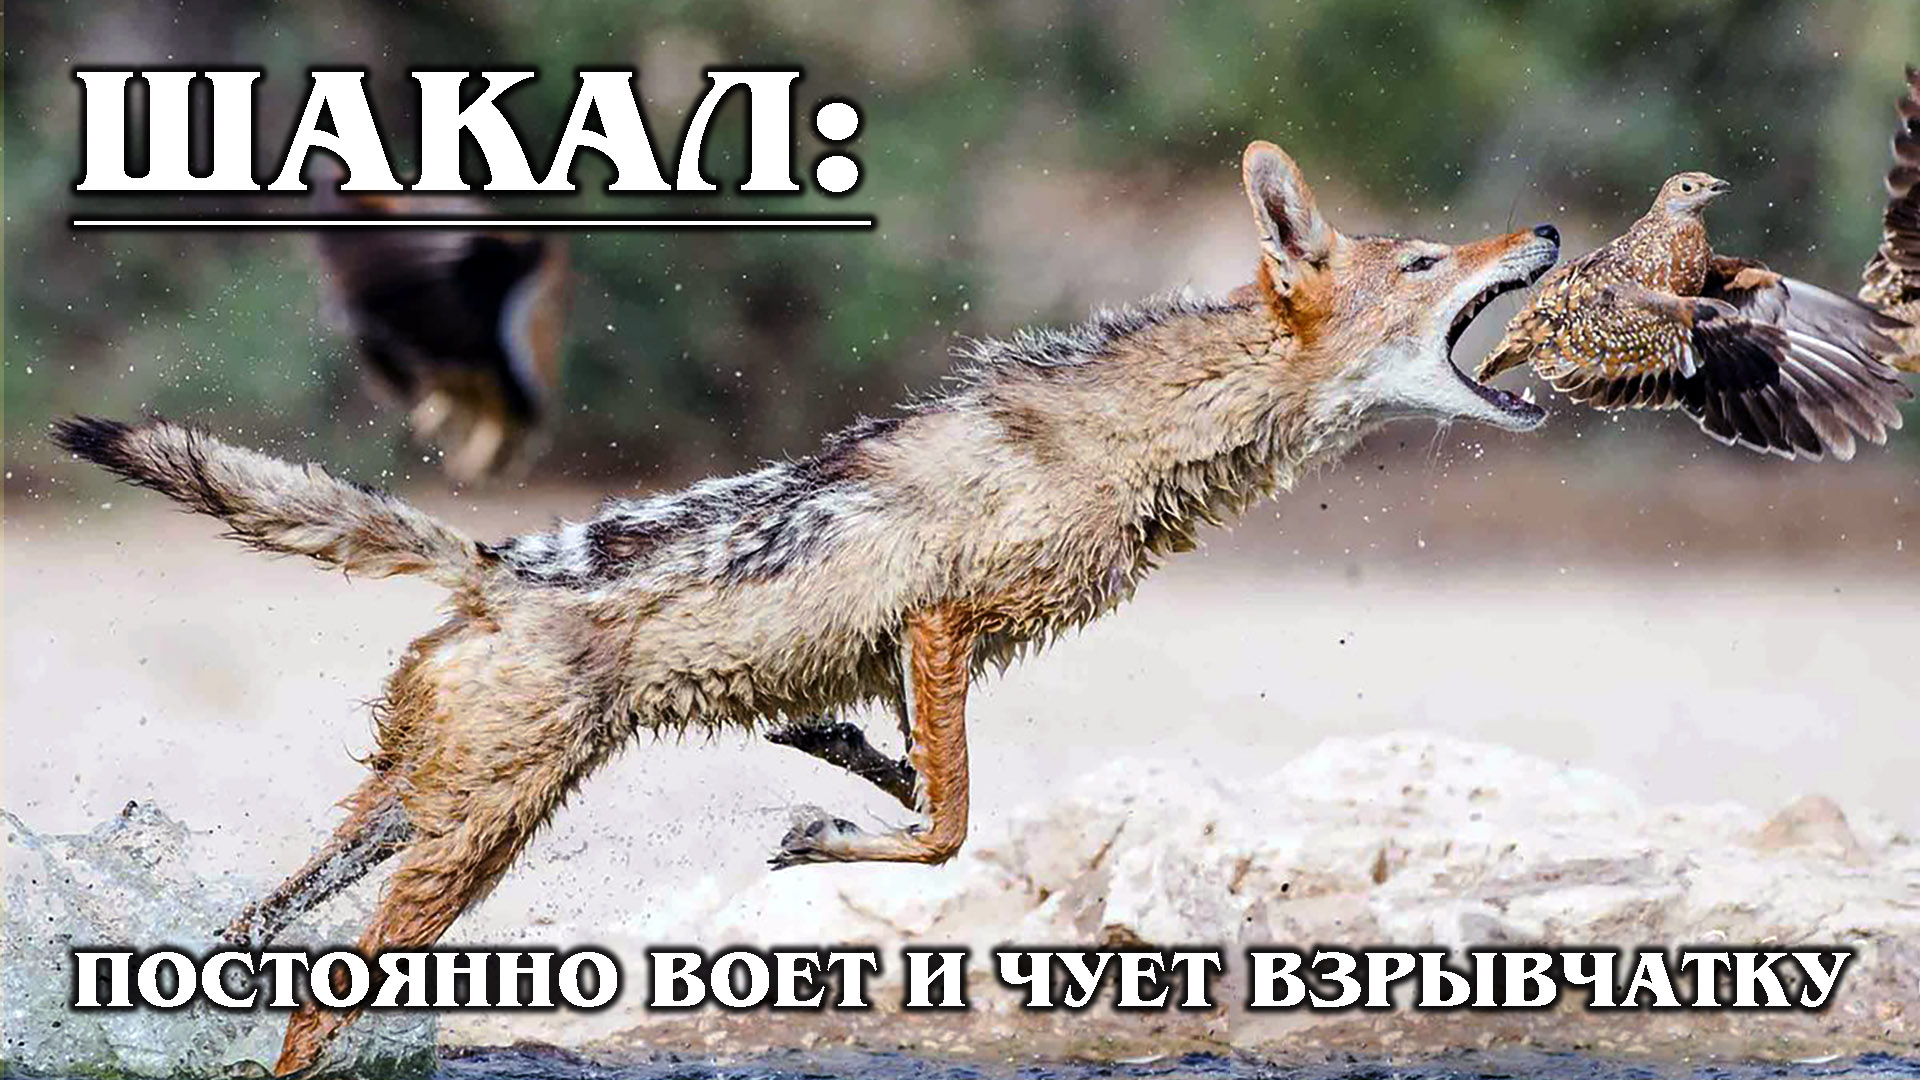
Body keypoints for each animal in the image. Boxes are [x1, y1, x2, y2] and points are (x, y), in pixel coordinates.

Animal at [52, 141, 1559, 1073]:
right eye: (1426, 263)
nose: (1547, 225)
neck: (1146, 436)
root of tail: (489, 564)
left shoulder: (912, 656)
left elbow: (917, 783)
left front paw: (838, 770)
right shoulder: (946, 627)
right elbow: (951, 827)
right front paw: (819, 829)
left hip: (398, 821)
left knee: (250, 933)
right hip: (464, 851)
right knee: (316, 1004)